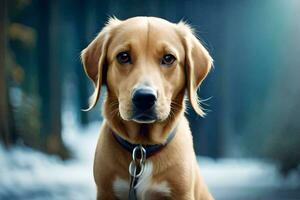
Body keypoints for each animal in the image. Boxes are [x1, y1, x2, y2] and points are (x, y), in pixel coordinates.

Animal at [81, 16, 214, 200]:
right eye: (123, 56)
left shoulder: (181, 193)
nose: (144, 97)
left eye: (168, 58)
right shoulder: (106, 191)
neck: (141, 149)